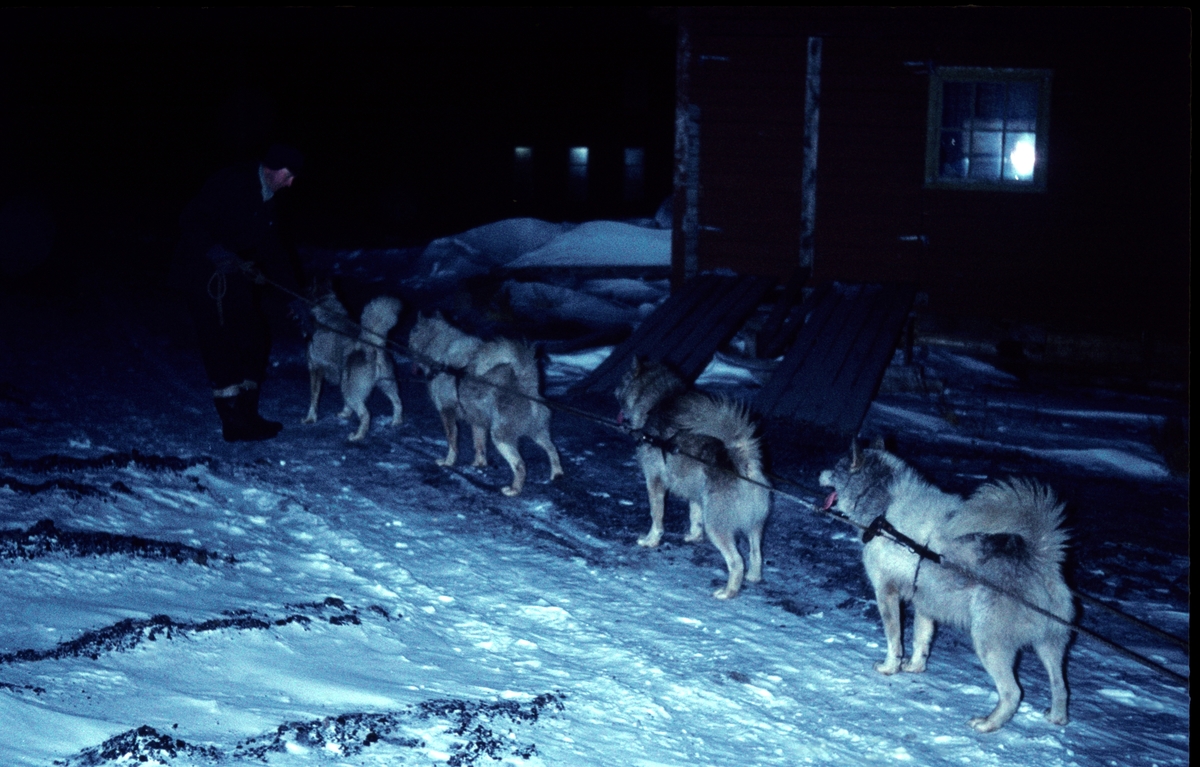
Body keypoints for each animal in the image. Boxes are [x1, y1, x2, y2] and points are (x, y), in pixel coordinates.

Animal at [408, 312, 561, 499]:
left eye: (412, 332)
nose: (408, 345)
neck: (440, 348)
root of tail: (526, 382)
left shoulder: (447, 412)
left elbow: (452, 443)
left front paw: (448, 462)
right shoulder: (477, 421)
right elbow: (479, 446)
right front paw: (478, 464)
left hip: (501, 437)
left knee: (520, 465)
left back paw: (513, 490)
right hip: (538, 433)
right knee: (552, 450)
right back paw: (557, 474)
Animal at [614, 360, 772, 600]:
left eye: (623, 379)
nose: (614, 391)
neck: (658, 401)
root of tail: (744, 461)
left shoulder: (655, 481)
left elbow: (656, 516)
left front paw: (651, 540)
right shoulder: (695, 493)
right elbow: (694, 515)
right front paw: (694, 536)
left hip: (717, 525)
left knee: (736, 562)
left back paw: (728, 592)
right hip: (755, 526)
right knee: (755, 554)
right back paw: (753, 577)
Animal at [820, 436, 1075, 729]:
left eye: (835, 467)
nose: (820, 473)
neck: (883, 509)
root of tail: (1040, 558)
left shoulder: (886, 593)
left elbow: (895, 639)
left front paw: (889, 668)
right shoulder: (924, 602)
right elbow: (921, 640)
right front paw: (914, 667)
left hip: (989, 644)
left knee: (1013, 693)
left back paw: (987, 724)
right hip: (1049, 647)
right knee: (1060, 686)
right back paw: (1056, 718)